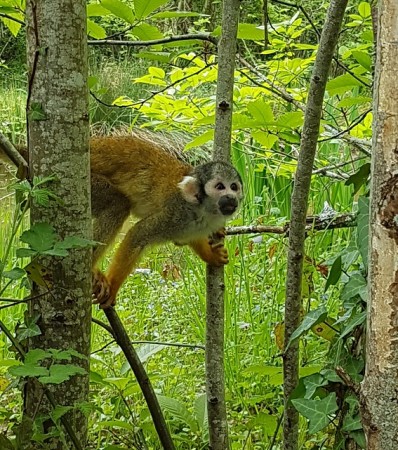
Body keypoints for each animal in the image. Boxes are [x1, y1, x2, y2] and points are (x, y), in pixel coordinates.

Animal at [89, 135, 243, 308]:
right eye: (220, 187)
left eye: (234, 187)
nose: (231, 197)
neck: (200, 210)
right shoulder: (175, 216)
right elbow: (137, 235)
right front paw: (113, 286)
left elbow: (184, 239)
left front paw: (210, 255)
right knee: (117, 204)